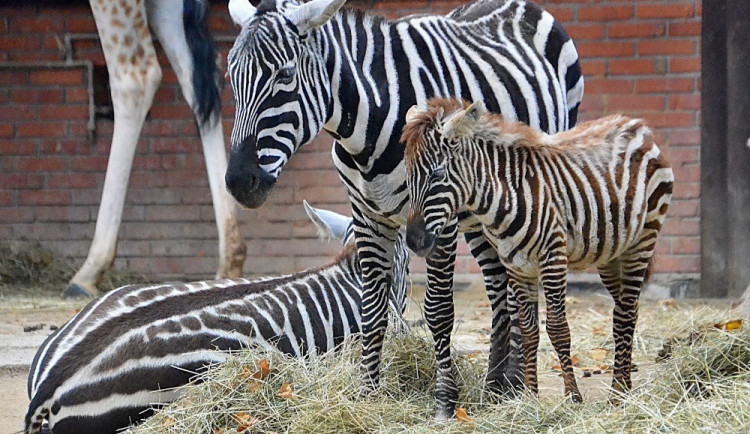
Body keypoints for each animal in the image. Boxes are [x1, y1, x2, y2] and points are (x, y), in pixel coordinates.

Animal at [226, 0, 584, 418]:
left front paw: (445, 401)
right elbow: (371, 308)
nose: (238, 182)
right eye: (232, 78)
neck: (364, 135)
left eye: (284, 75)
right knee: (498, 287)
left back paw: (513, 385)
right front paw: (367, 394)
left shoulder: (438, 218)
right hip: (480, 210)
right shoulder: (367, 217)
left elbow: (438, 310)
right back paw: (498, 385)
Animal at [406, 98, 676, 404]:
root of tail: (636, 125)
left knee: (626, 313)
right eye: (407, 176)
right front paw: (530, 396)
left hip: (643, 240)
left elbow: (557, 328)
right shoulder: (516, 265)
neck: (505, 197)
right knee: (626, 309)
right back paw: (625, 385)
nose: (414, 242)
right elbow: (528, 330)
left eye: (437, 174)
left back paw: (618, 391)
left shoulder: (553, 257)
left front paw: (572, 396)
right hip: (611, 253)